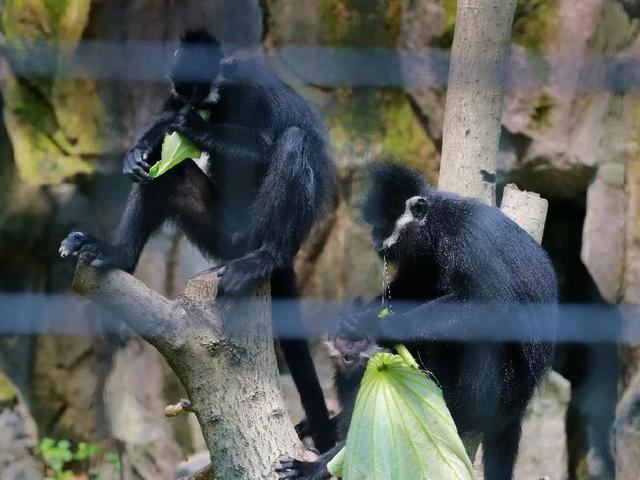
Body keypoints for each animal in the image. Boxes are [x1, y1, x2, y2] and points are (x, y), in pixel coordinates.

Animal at [59, 31, 336, 454]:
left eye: (200, 93)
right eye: (184, 90)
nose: (190, 107)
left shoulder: (250, 83)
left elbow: (267, 144)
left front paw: (195, 128)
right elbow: (160, 143)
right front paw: (140, 148)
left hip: (259, 230)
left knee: (292, 141)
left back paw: (264, 257)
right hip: (221, 235)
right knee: (166, 173)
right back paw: (119, 255)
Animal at [278, 162, 556, 480]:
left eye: (385, 225)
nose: (376, 243)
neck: (439, 225)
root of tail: (519, 405)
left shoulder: (471, 242)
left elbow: (490, 310)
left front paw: (380, 328)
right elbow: (409, 286)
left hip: (497, 389)